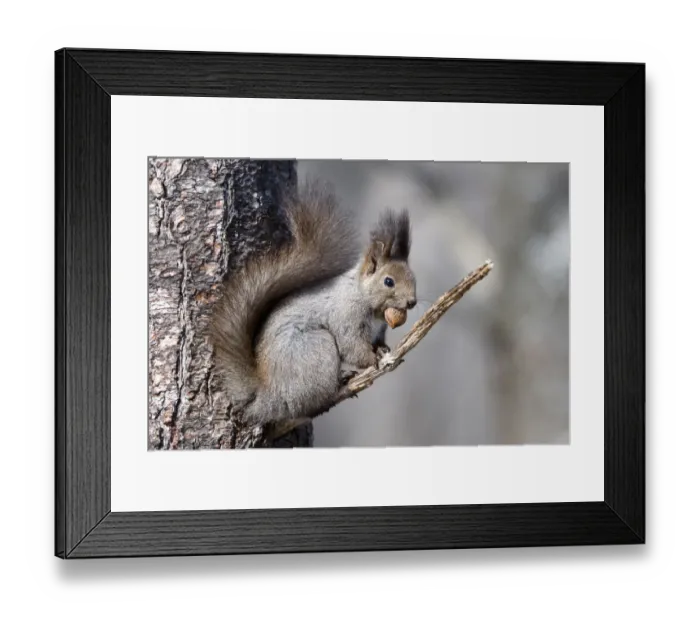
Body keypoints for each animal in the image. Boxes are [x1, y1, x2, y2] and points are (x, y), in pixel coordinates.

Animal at [207, 181, 417, 426]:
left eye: (413, 277)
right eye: (388, 281)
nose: (412, 302)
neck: (364, 297)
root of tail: (270, 397)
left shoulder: (378, 329)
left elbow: (377, 342)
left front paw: (384, 350)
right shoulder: (347, 316)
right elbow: (352, 347)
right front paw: (372, 360)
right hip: (316, 349)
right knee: (312, 401)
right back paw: (339, 384)